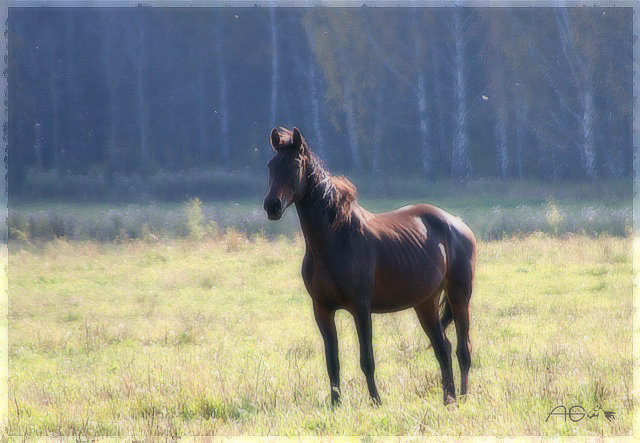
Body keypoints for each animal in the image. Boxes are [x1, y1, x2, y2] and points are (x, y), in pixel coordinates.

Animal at [262, 126, 478, 408]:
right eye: (271, 165)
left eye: (295, 164)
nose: (272, 206)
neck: (334, 240)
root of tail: (458, 224)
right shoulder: (322, 309)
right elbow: (332, 362)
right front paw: (335, 405)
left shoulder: (361, 308)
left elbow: (367, 360)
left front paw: (376, 402)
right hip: (426, 302)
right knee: (443, 348)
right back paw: (448, 399)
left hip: (459, 296)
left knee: (463, 349)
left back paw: (462, 397)